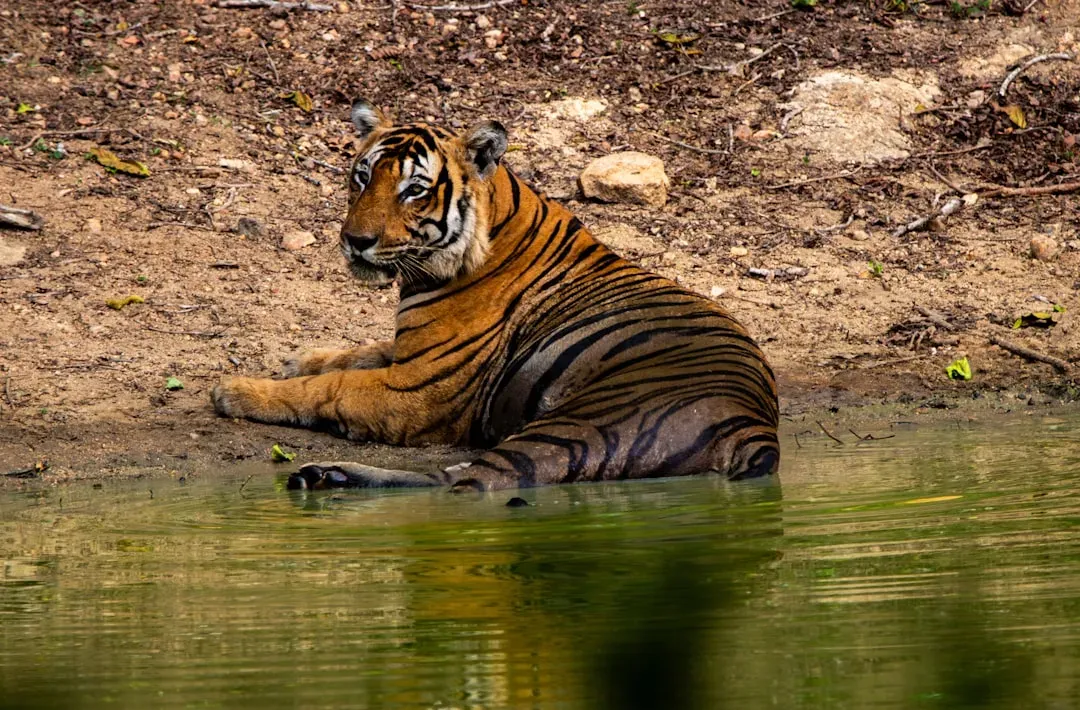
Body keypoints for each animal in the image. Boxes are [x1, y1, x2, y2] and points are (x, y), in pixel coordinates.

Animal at [210, 99, 780, 492]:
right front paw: (298, 359)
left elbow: (329, 388)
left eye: (414, 190)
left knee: (465, 484)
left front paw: (237, 391)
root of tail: (754, 426)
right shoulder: (411, 351)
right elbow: (355, 353)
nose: (355, 240)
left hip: (575, 425)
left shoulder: (414, 390)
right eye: (362, 176)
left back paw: (326, 476)